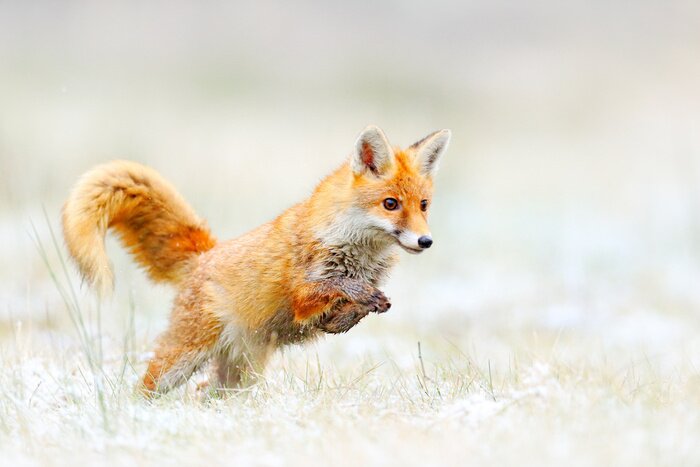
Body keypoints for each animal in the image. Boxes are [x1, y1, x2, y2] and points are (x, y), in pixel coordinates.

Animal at [61, 125, 451, 396]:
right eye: (390, 204)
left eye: (423, 206)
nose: (426, 241)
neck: (358, 251)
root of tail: (205, 255)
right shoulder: (302, 294)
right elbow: (336, 285)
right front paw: (358, 297)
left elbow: (355, 308)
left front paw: (352, 315)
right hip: (183, 359)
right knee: (145, 389)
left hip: (241, 373)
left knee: (206, 393)